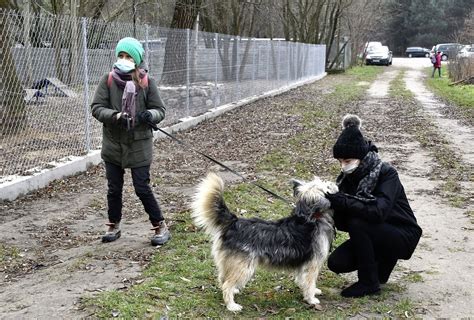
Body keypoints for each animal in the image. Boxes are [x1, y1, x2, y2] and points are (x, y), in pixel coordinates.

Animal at [191, 174, 338, 312]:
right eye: (326, 186)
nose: (334, 183)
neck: (309, 218)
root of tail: (234, 222)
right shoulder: (312, 264)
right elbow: (309, 281)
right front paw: (311, 298)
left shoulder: (304, 263)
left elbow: (303, 279)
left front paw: (313, 291)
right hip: (243, 267)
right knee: (226, 285)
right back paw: (232, 305)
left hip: (230, 263)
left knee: (223, 279)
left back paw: (234, 291)